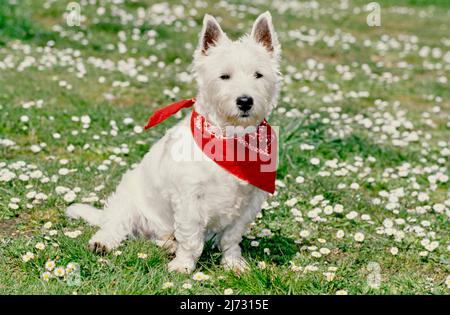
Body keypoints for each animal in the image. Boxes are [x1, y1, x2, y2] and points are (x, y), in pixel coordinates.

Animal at [66, 11, 282, 274]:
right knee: (116, 224)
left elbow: (231, 238)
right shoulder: (189, 198)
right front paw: (183, 265)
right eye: (224, 76)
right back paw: (103, 242)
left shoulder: (249, 202)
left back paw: (169, 244)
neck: (229, 138)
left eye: (258, 75)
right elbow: (191, 239)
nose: (244, 101)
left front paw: (233, 263)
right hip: (128, 199)